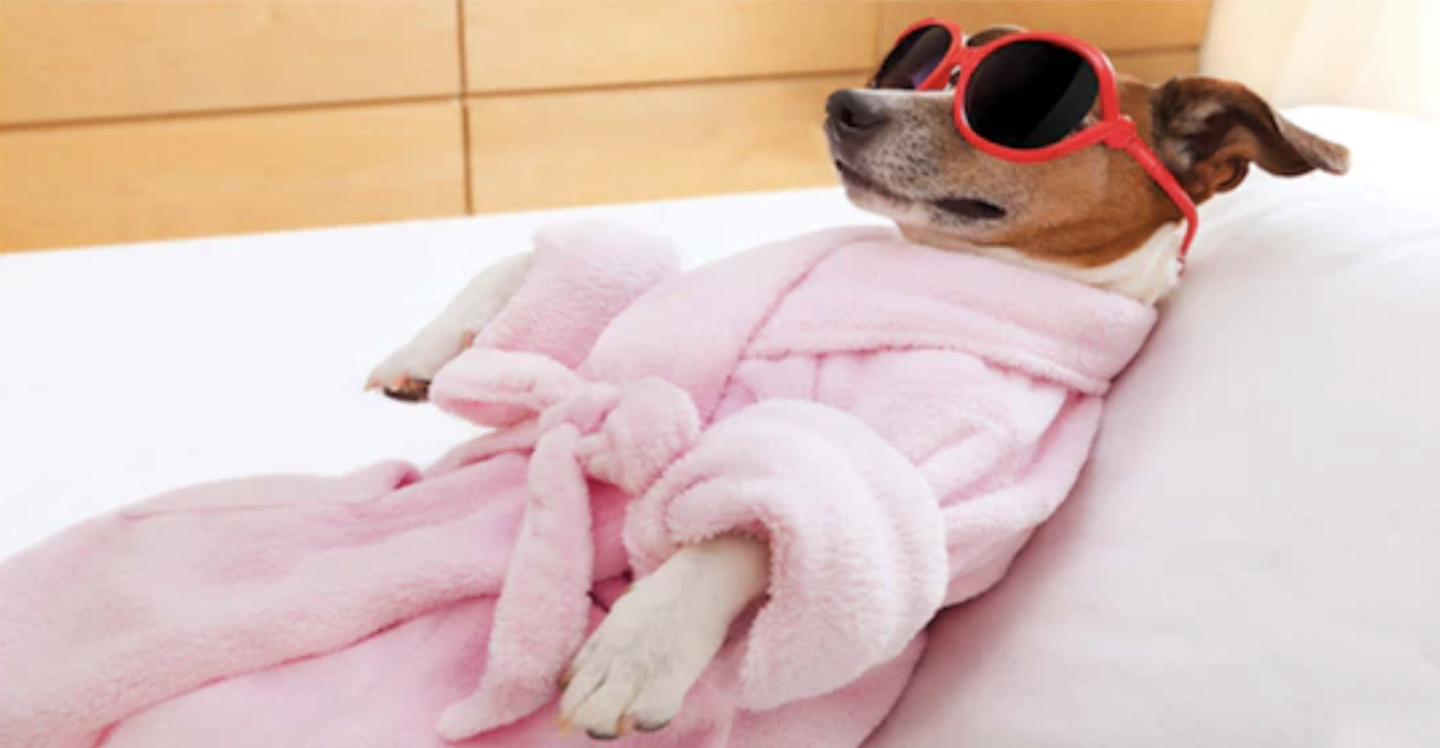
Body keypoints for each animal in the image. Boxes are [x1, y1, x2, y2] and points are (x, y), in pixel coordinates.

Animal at [368, 24, 1347, 743]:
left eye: (1020, 103)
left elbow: (768, 521)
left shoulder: (957, 476)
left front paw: (641, 641)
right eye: (927, 63)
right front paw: (429, 347)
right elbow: (536, 273)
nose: (845, 102)